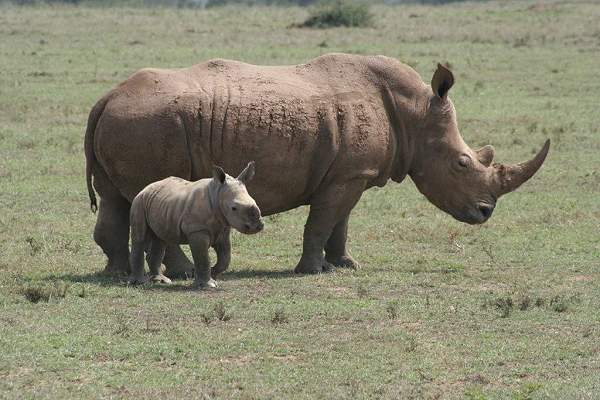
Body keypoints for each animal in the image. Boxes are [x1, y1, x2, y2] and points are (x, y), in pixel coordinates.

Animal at [83, 53, 548, 276]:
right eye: (463, 163)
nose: (485, 212)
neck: (415, 113)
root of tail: (106, 97)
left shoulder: (349, 173)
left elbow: (341, 222)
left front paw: (345, 265)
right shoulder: (347, 176)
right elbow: (323, 221)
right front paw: (311, 271)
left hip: (131, 120)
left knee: (118, 199)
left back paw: (116, 272)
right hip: (150, 122)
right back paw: (177, 275)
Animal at [129, 161, 262, 290]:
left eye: (255, 202)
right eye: (234, 208)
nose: (256, 227)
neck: (217, 194)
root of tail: (145, 188)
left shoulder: (223, 229)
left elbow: (225, 257)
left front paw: (213, 273)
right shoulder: (197, 230)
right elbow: (203, 257)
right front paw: (208, 285)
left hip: (159, 203)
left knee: (160, 239)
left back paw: (161, 281)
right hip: (139, 202)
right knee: (140, 238)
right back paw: (140, 283)